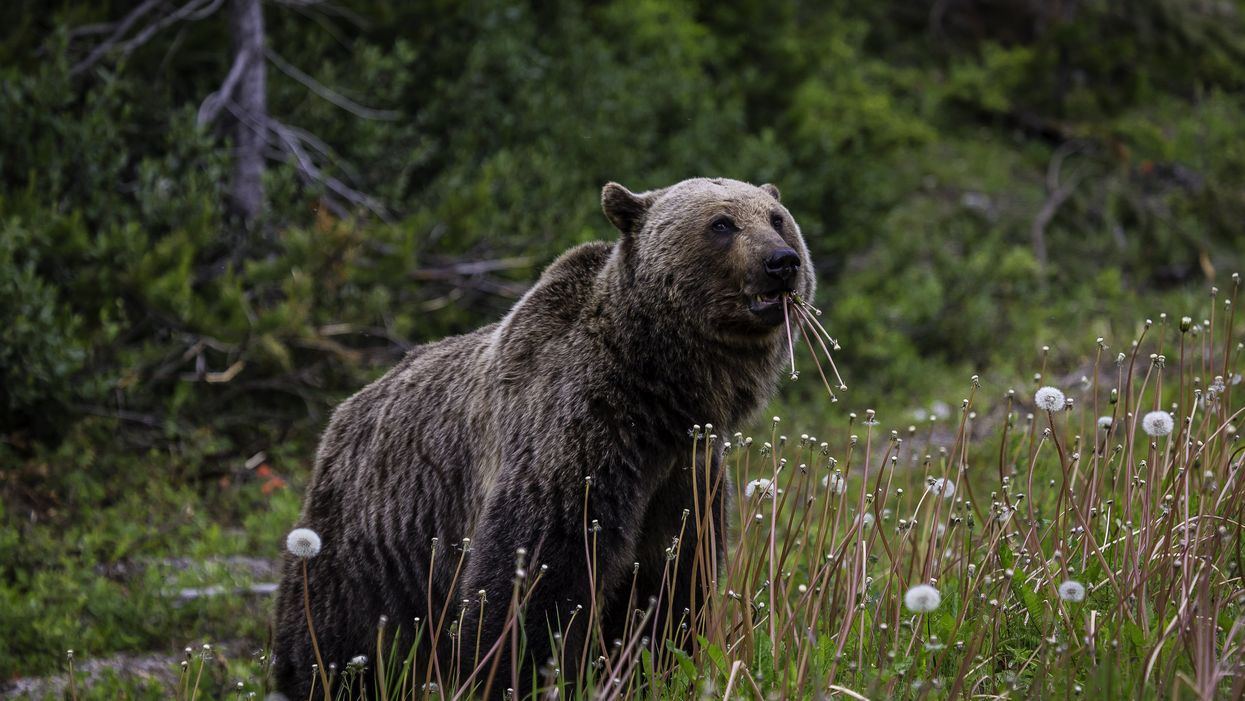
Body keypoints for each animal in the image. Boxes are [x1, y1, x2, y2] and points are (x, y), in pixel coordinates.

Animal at [271, 177, 815, 699]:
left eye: (776, 218)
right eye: (722, 223)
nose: (781, 262)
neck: (657, 395)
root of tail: (340, 415)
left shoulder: (686, 475)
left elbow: (670, 587)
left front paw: (650, 667)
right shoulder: (574, 441)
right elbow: (535, 577)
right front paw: (518, 676)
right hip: (365, 543)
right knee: (332, 635)